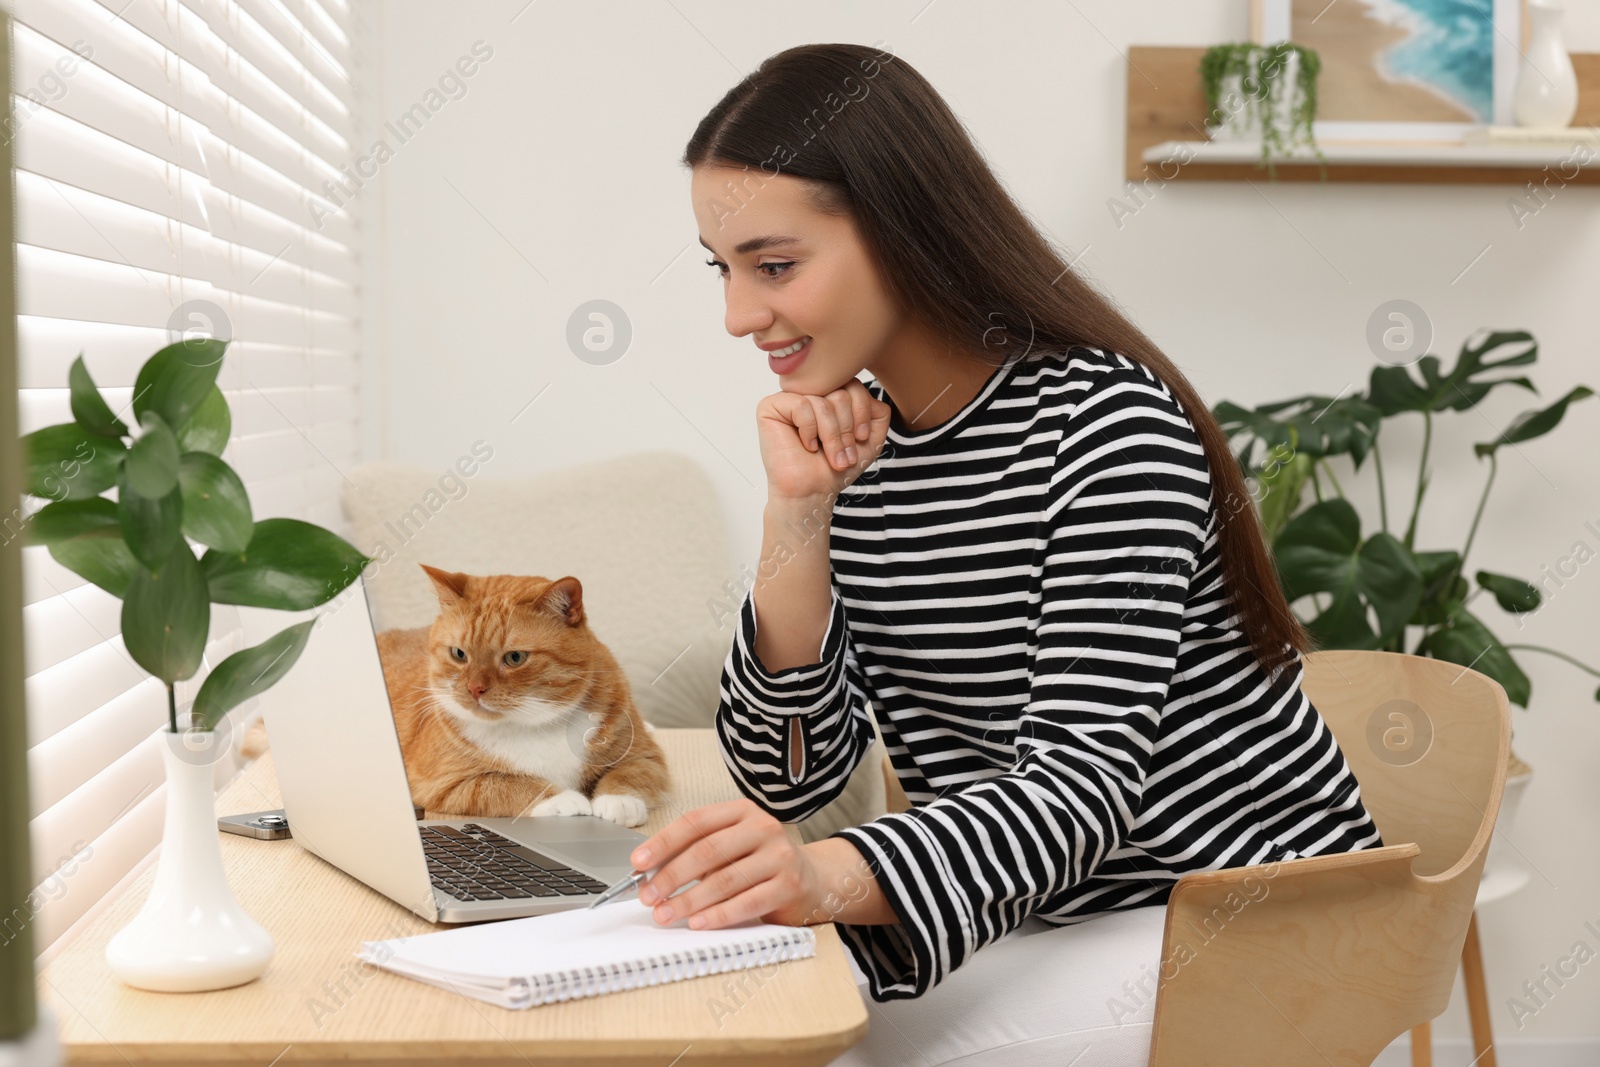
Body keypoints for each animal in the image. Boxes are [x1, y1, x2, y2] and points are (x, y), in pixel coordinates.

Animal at [374, 563, 668, 831]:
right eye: (459, 654)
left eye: (515, 658)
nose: (474, 689)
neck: (536, 723)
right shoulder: (444, 784)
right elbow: (505, 784)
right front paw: (563, 800)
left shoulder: (645, 755)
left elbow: (631, 772)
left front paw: (619, 801)